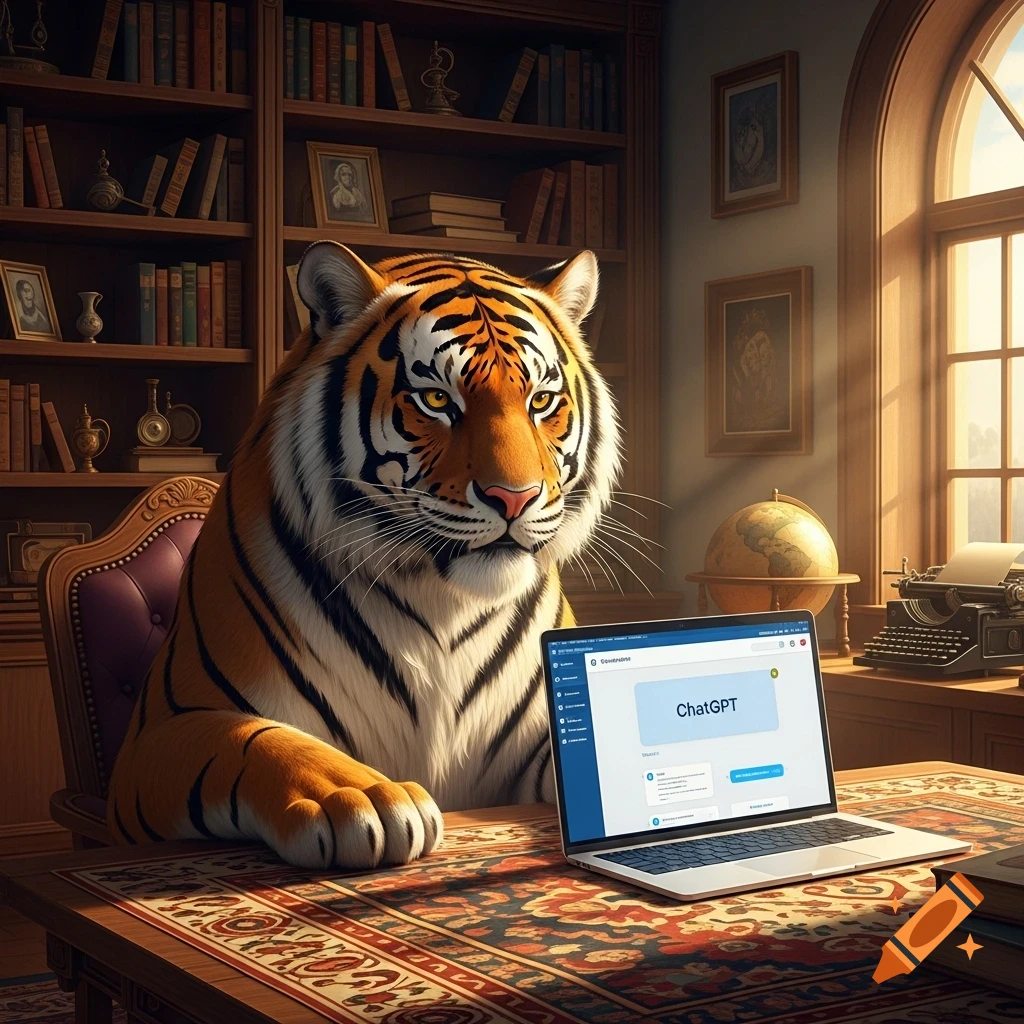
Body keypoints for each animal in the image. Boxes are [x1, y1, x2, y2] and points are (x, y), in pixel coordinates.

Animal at [107, 241, 621, 870]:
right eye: (436, 399)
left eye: (541, 401)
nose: (514, 498)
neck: (442, 598)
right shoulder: (164, 730)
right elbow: (255, 737)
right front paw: (362, 797)